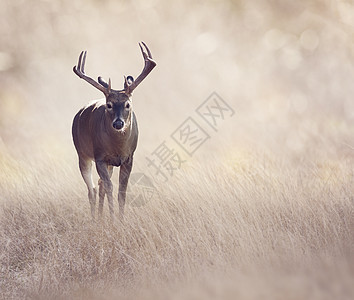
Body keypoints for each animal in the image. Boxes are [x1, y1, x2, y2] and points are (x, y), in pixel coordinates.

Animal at [71, 42, 156, 219]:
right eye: (109, 105)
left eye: (128, 104)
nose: (118, 123)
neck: (118, 147)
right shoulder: (100, 157)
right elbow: (110, 187)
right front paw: (112, 219)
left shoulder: (129, 158)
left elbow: (121, 190)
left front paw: (120, 220)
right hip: (82, 154)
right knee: (92, 190)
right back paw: (95, 219)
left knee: (99, 185)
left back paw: (100, 217)